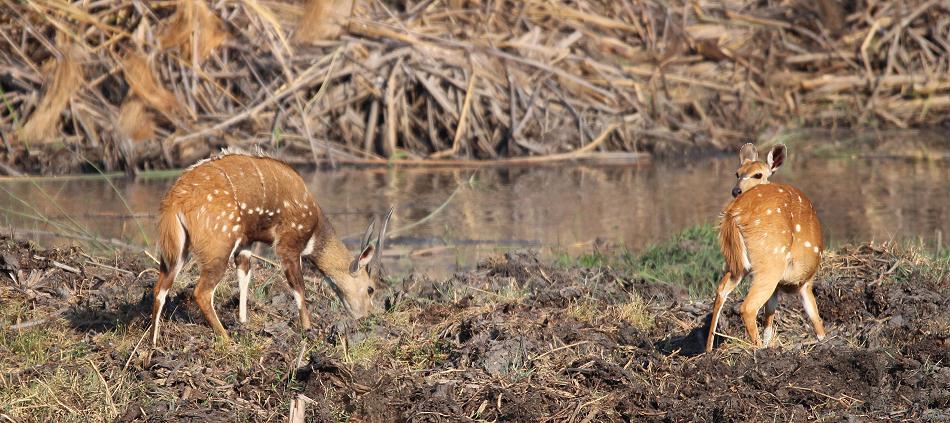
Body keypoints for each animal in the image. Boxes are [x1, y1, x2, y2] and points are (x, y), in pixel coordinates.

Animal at [150, 151, 394, 346]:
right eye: (371, 289)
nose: (366, 316)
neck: (314, 226)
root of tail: (175, 201)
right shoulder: (288, 243)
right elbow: (299, 288)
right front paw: (308, 329)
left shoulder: (246, 243)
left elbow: (245, 276)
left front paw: (244, 321)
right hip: (218, 247)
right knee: (201, 292)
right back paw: (227, 340)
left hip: (177, 251)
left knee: (160, 289)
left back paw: (152, 344)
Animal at [708, 144, 824, 352]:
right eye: (737, 173)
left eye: (757, 174)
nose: (736, 190)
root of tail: (733, 213)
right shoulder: (805, 282)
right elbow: (816, 318)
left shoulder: (779, 288)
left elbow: (769, 318)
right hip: (771, 259)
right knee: (748, 306)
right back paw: (759, 349)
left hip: (736, 263)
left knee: (721, 289)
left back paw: (707, 350)